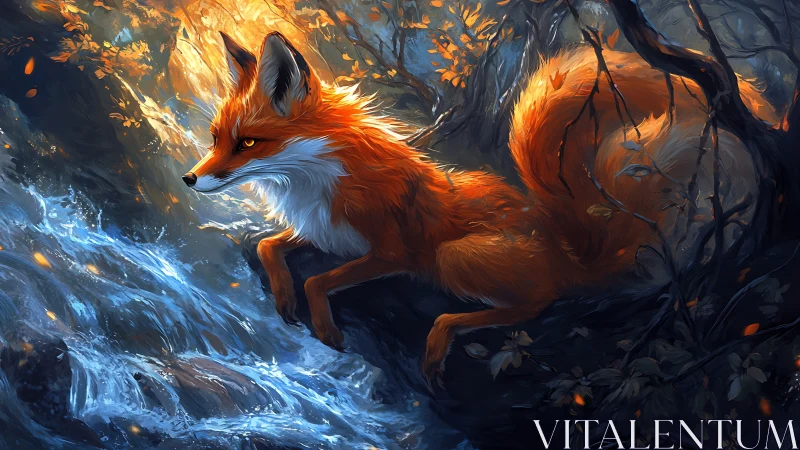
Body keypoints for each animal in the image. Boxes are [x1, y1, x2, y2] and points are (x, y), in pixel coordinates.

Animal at [183, 31, 774, 383]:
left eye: (248, 143)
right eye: (216, 138)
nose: (190, 179)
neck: (313, 179)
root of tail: (571, 249)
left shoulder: (395, 251)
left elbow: (320, 280)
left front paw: (325, 327)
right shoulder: (326, 230)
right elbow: (270, 246)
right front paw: (284, 297)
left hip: (455, 259)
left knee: (536, 305)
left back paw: (441, 338)